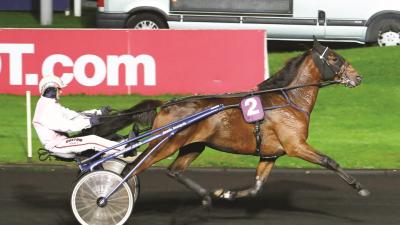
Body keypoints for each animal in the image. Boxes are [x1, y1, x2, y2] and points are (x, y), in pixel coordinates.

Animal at [97, 39, 368, 206]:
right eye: (333, 58)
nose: (358, 77)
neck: (287, 100)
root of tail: (165, 105)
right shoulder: (296, 146)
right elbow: (330, 161)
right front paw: (360, 187)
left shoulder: (270, 154)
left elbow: (257, 187)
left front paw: (225, 193)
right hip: (165, 144)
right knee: (130, 170)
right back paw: (104, 198)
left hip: (194, 145)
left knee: (173, 170)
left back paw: (206, 197)